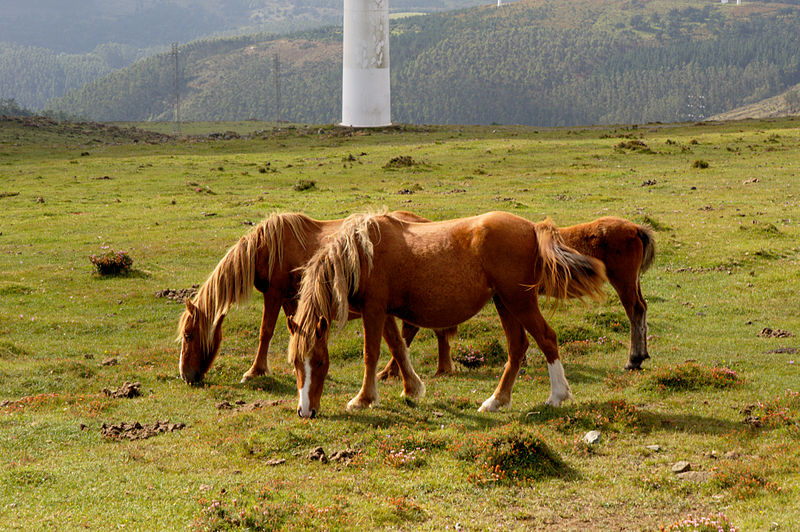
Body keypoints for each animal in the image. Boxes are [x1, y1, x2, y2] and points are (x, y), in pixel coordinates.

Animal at [175, 209, 454, 386]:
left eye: (188, 335)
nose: (186, 376)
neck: (266, 248)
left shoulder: (273, 294)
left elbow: (265, 332)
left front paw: (254, 372)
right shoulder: (290, 298)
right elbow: (295, 330)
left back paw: (438, 369)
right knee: (413, 331)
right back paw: (396, 371)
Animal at [284, 210, 604, 418]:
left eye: (320, 362)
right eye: (296, 364)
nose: (305, 411)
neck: (362, 253)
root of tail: (532, 227)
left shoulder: (373, 309)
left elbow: (371, 353)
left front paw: (363, 399)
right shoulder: (383, 311)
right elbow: (398, 347)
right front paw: (411, 389)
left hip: (519, 300)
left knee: (546, 338)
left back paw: (556, 396)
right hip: (504, 301)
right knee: (517, 346)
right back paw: (496, 401)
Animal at [380, 216, 656, 378]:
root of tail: (635, 228)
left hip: (623, 282)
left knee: (634, 311)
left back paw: (633, 359)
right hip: (632, 282)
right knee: (642, 308)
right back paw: (642, 355)